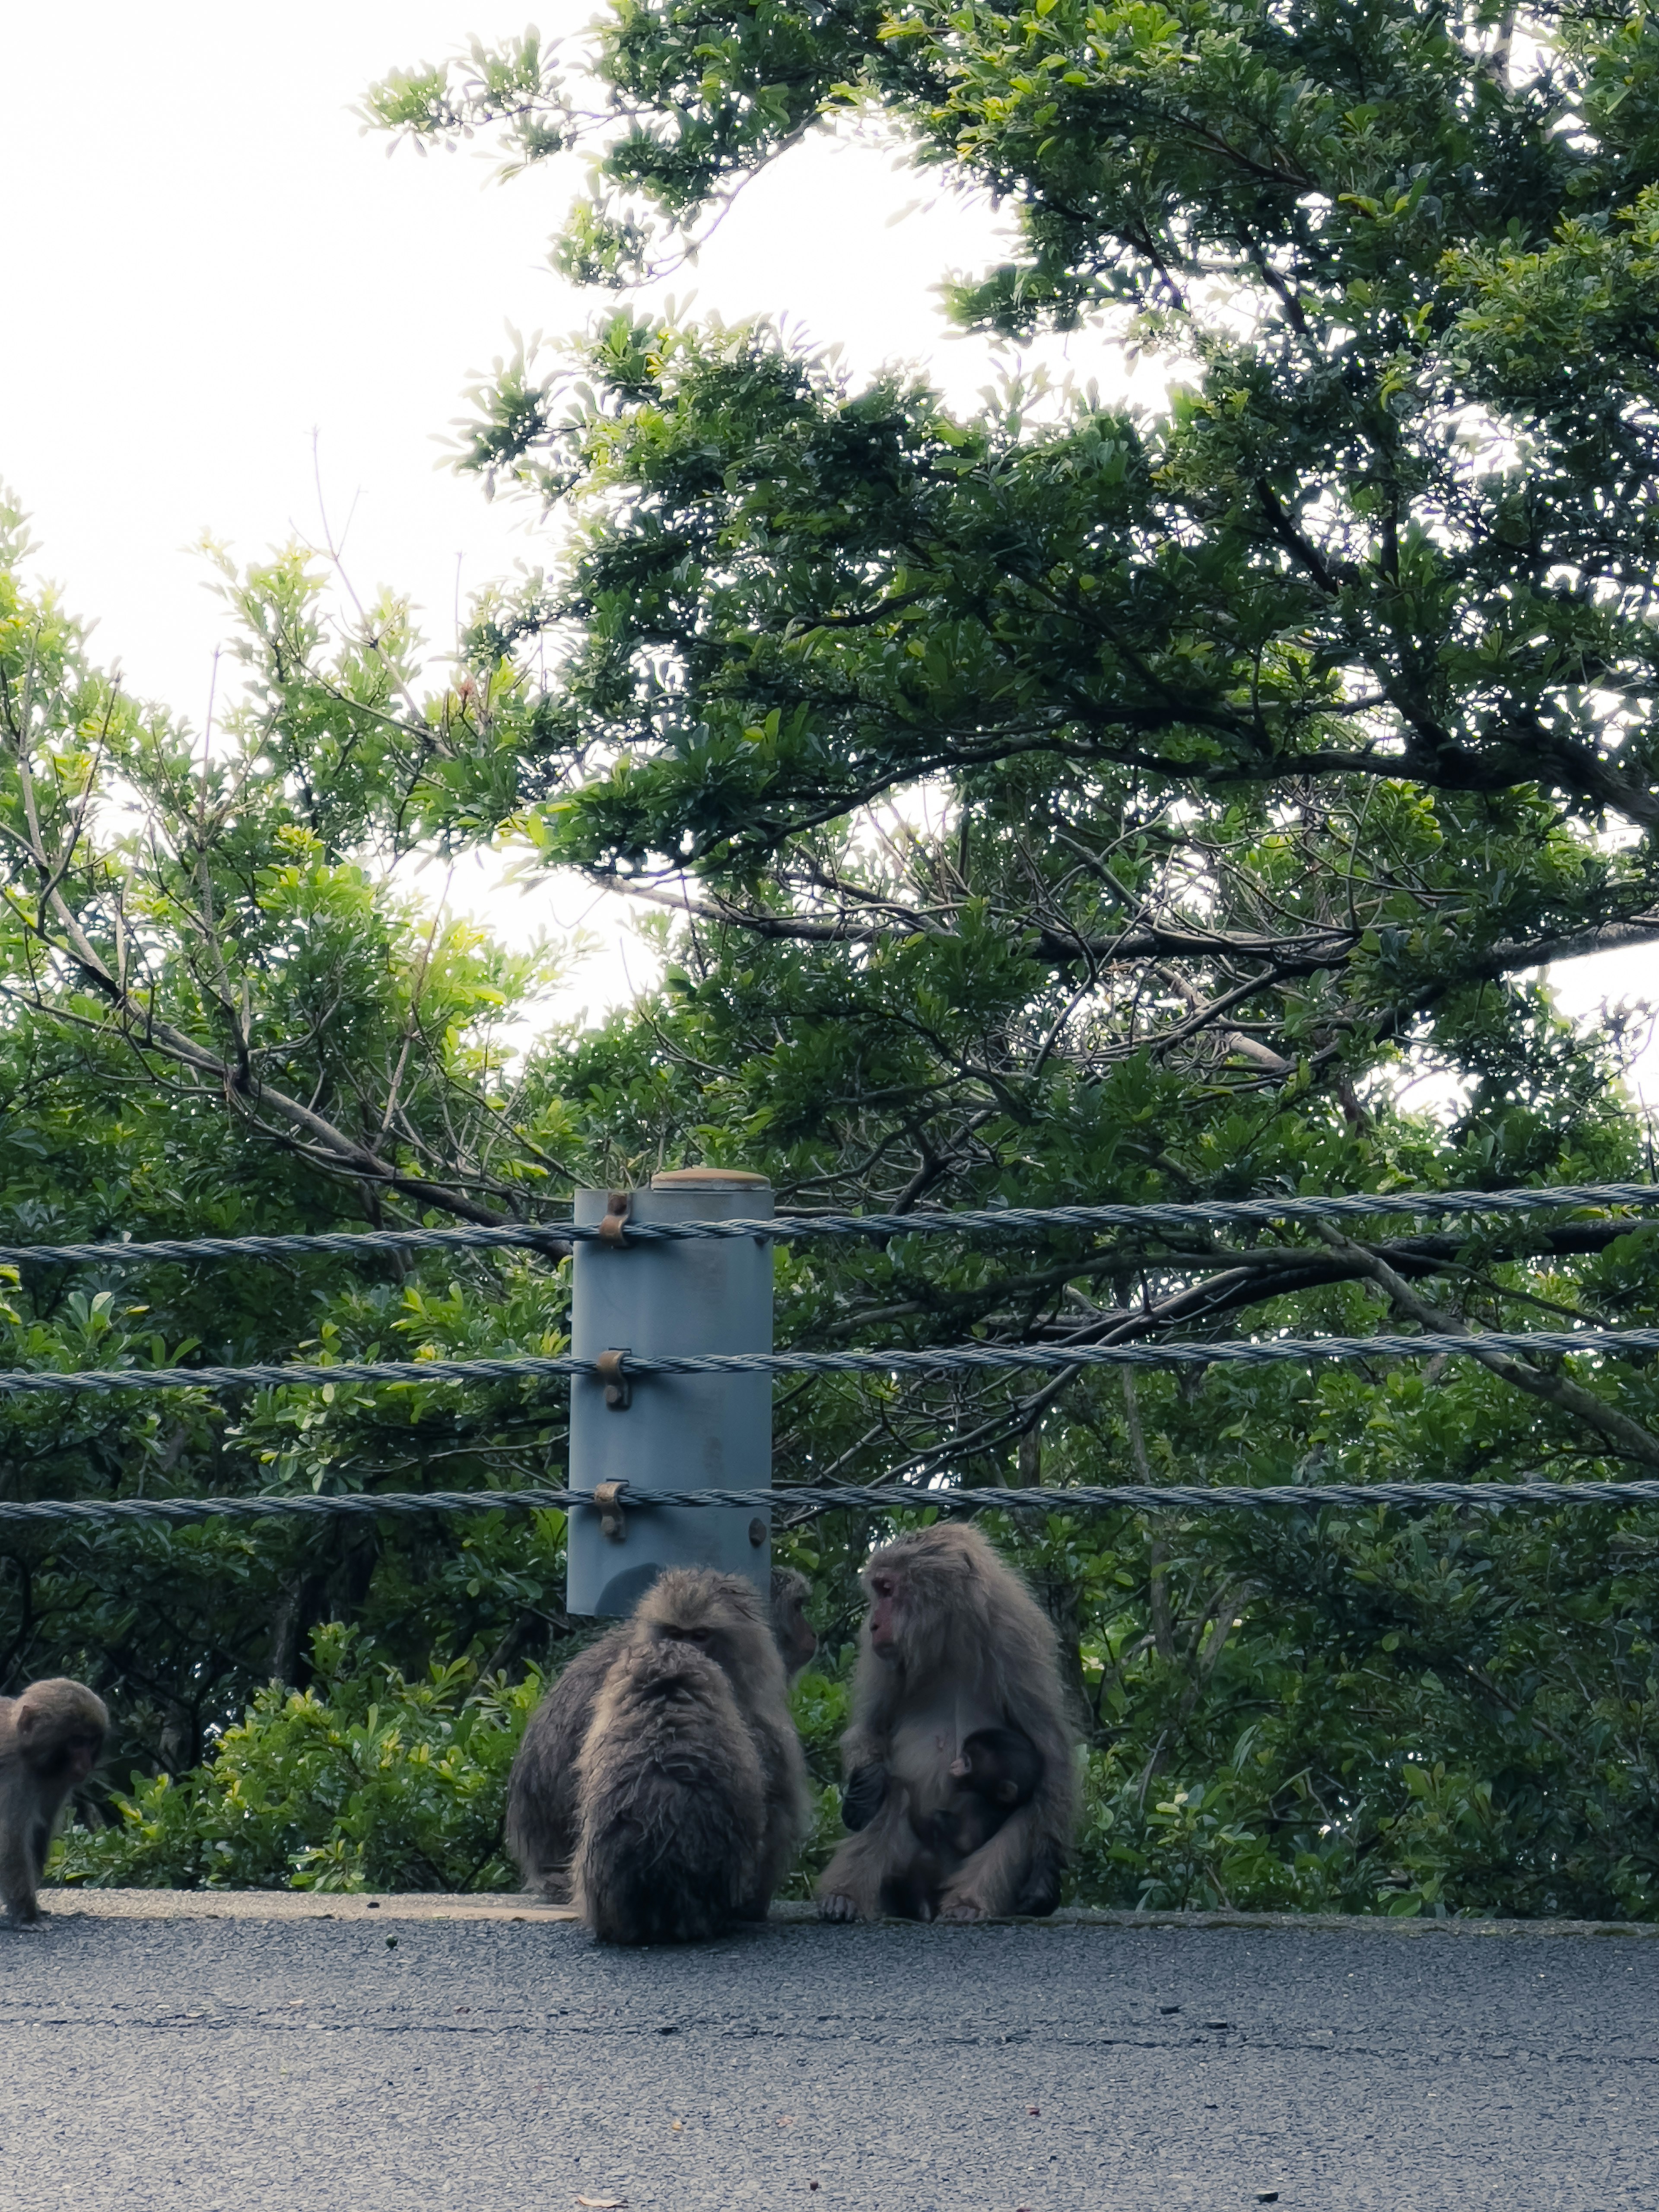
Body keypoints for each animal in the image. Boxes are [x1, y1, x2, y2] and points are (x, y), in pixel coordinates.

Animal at [0, 1672, 109, 1920]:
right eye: (77, 1742)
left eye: (91, 1742)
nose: (86, 1764)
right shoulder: (14, 1775)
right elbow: (10, 1839)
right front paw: (27, 1913)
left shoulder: (57, 1781)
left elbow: (41, 1828)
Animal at [814, 1531, 1079, 1929]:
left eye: (888, 1590)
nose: (874, 1623)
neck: (948, 1639)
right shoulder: (882, 1656)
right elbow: (871, 1730)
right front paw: (864, 1789)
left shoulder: (1015, 1640)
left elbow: (1051, 1750)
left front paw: (1045, 1876)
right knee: (894, 1793)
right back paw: (845, 1897)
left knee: (1027, 1807)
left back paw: (967, 1903)